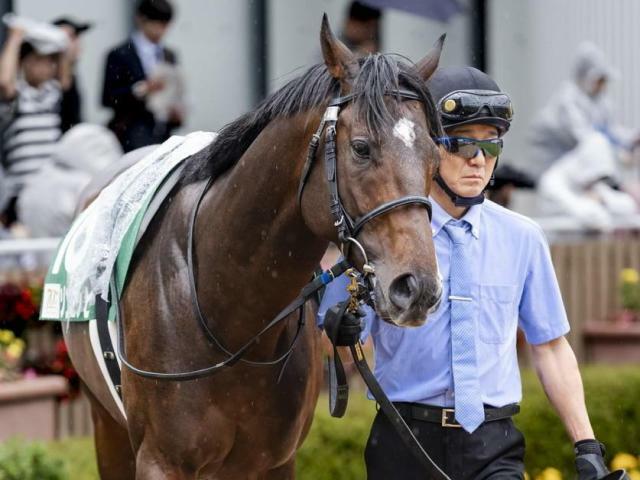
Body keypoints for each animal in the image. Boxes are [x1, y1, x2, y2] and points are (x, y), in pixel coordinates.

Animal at [63, 15, 444, 480]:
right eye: (361, 148)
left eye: (434, 157)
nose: (417, 288)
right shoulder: (160, 461)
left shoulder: (274, 461)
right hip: (106, 425)